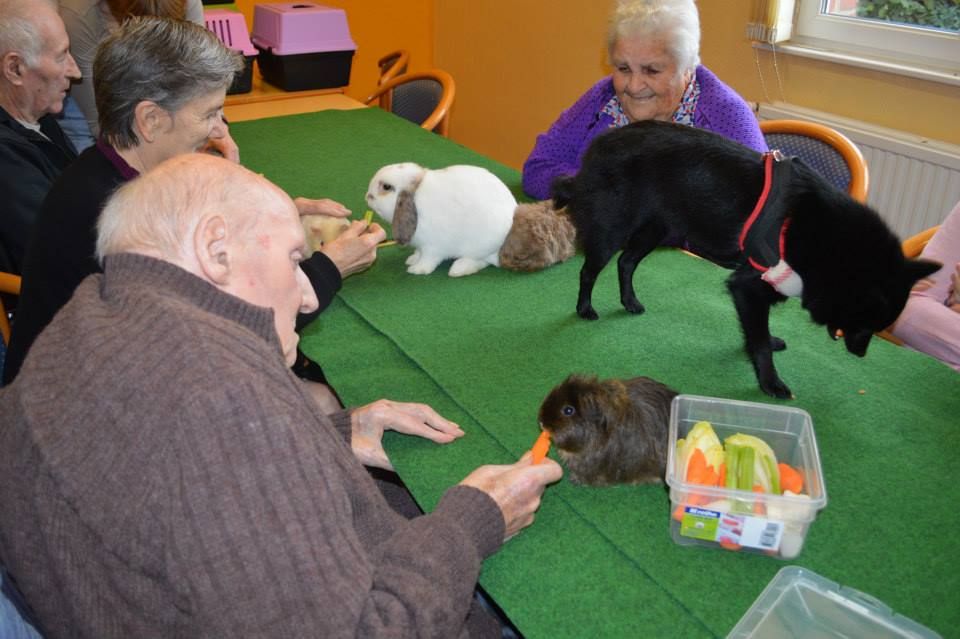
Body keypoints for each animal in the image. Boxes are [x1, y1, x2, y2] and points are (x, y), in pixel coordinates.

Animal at [366, 162, 516, 276]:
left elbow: (428, 259)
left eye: (386, 187)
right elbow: (418, 253)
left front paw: (417, 269)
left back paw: (457, 269)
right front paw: (412, 259)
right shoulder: (421, 245)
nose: (367, 196)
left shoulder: (432, 247)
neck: (415, 195)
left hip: (478, 246)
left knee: (480, 261)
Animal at [556, 120, 936, 398]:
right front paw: (770, 382)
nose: (860, 354)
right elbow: (759, 341)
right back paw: (585, 308)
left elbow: (757, 334)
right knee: (589, 271)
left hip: (658, 228)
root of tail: (600, 144)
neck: (824, 238)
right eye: (865, 323)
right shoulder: (748, 287)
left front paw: (763, 346)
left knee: (627, 263)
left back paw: (631, 301)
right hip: (613, 230)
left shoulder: (753, 293)